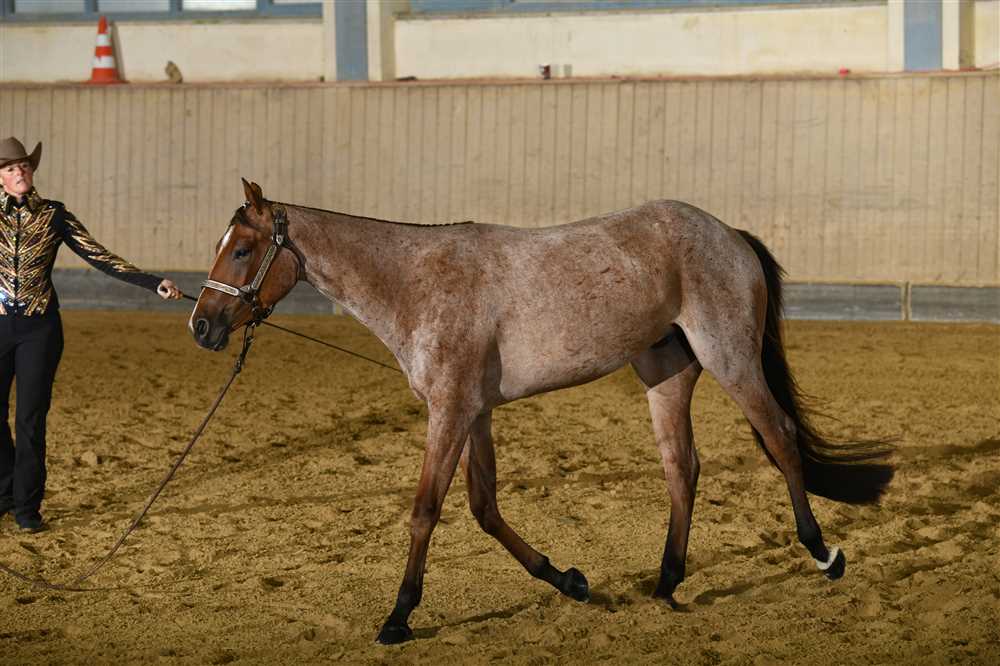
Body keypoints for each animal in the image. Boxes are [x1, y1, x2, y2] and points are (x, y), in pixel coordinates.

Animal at [190, 179, 893, 645]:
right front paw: (571, 581)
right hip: (665, 375)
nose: (202, 325)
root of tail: (728, 234)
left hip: (731, 358)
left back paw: (823, 554)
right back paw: (665, 583)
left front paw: (398, 617)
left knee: (780, 437)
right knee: (683, 469)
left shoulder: (449, 411)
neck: (416, 283)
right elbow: (484, 507)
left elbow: (425, 511)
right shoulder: (473, 413)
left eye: (243, 250)